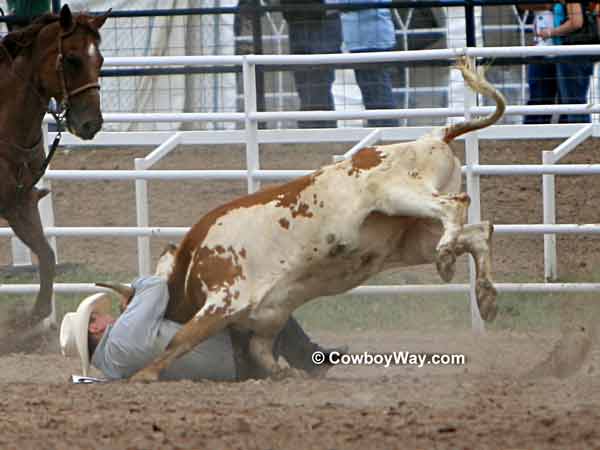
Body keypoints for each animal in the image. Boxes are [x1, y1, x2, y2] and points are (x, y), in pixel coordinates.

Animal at [1, 5, 108, 328]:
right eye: (72, 59)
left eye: (100, 60)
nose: (91, 123)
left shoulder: (19, 203)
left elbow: (47, 256)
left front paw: (34, 318)